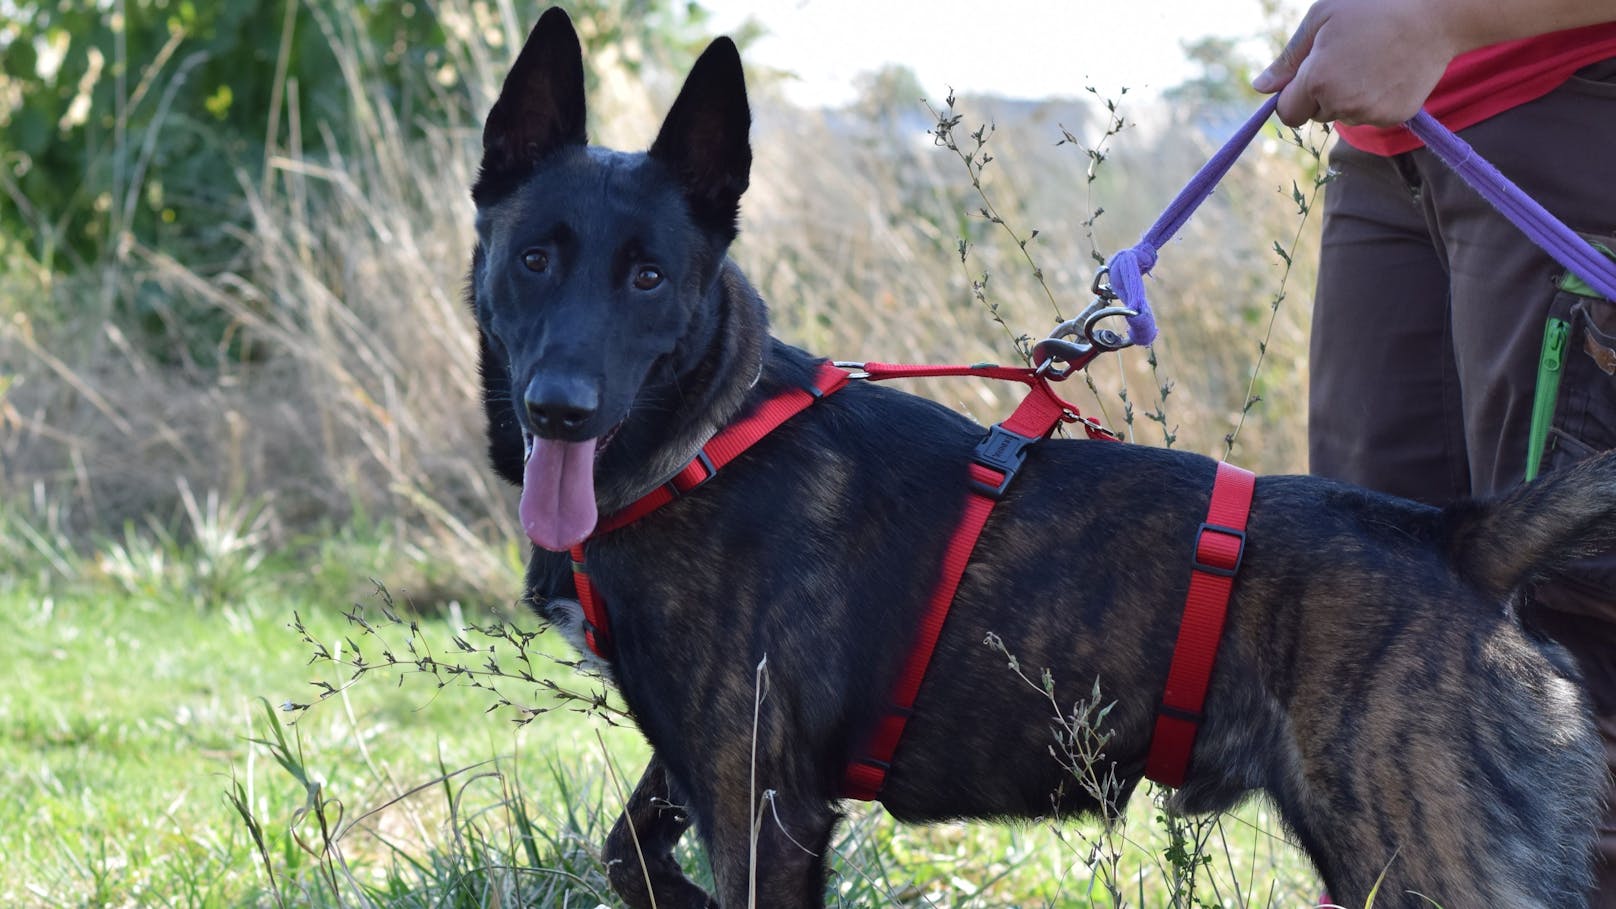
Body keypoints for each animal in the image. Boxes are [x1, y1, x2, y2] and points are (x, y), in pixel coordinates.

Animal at [468, 8, 1616, 905]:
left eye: (649, 277)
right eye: (534, 258)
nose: (559, 411)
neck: (707, 438)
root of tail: (1460, 537)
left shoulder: (761, 805)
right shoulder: (700, 767)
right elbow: (626, 857)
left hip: (1425, 857)